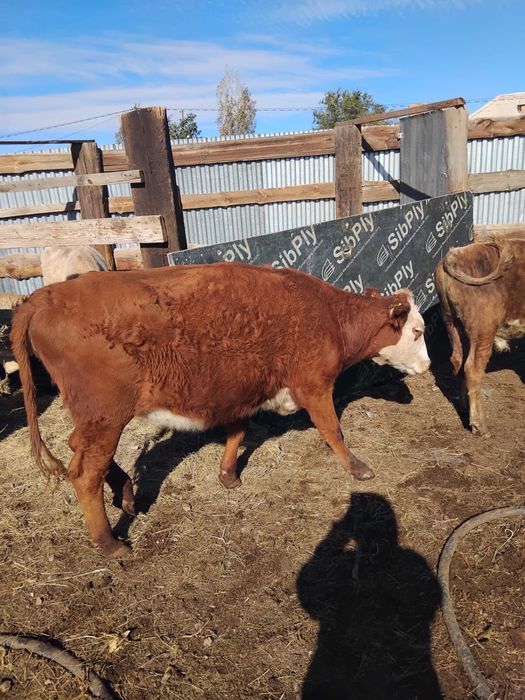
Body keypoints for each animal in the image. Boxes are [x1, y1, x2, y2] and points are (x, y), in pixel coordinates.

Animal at [11, 262, 430, 556]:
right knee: (85, 473)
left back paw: (127, 493)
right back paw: (109, 542)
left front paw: (228, 475)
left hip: (94, 419)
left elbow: (237, 431)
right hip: (106, 417)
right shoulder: (314, 386)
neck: (326, 314)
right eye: (417, 331)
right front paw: (358, 468)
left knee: (76, 448)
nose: (427, 366)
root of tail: (41, 298)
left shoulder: (242, 393)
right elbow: (332, 430)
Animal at [435, 237, 525, 435]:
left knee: (459, 362)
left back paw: (464, 408)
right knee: (472, 369)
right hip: (483, 330)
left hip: (454, 325)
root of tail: (455, 254)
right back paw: (479, 425)